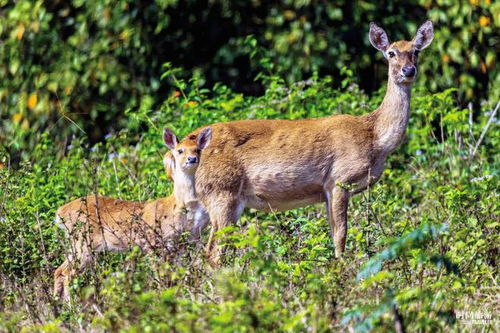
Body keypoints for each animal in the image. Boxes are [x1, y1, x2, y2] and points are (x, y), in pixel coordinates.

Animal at [52, 126, 211, 298]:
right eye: (180, 150)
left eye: (197, 149)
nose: (192, 159)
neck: (176, 205)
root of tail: (60, 213)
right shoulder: (153, 243)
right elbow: (161, 276)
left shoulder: (180, 245)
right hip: (83, 241)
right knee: (67, 274)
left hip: (76, 244)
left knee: (59, 271)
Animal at [180, 20, 434, 264]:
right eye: (391, 52)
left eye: (416, 51)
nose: (408, 70)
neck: (375, 139)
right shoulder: (339, 180)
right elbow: (341, 235)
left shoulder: (327, 191)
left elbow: (334, 233)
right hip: (222, 191)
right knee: (213, 253)